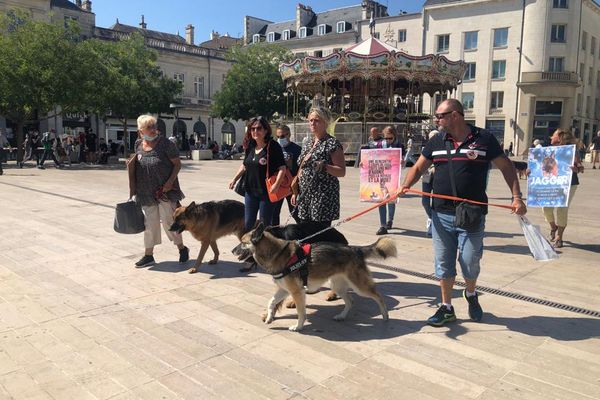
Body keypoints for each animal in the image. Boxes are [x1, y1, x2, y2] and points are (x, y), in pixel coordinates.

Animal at [232, 222, 396, 332]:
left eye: (243, 243)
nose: (232, 250)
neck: (277, 253)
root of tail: (356, 249)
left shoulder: (296, 292)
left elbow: (300, 312)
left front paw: (298, 326)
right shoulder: (284, 290)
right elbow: (271, 302)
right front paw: (269, 317)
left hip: (359, 286)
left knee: (378, 296)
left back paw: (385, 316)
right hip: (337, 285)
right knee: (350, 301)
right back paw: (342, 316)